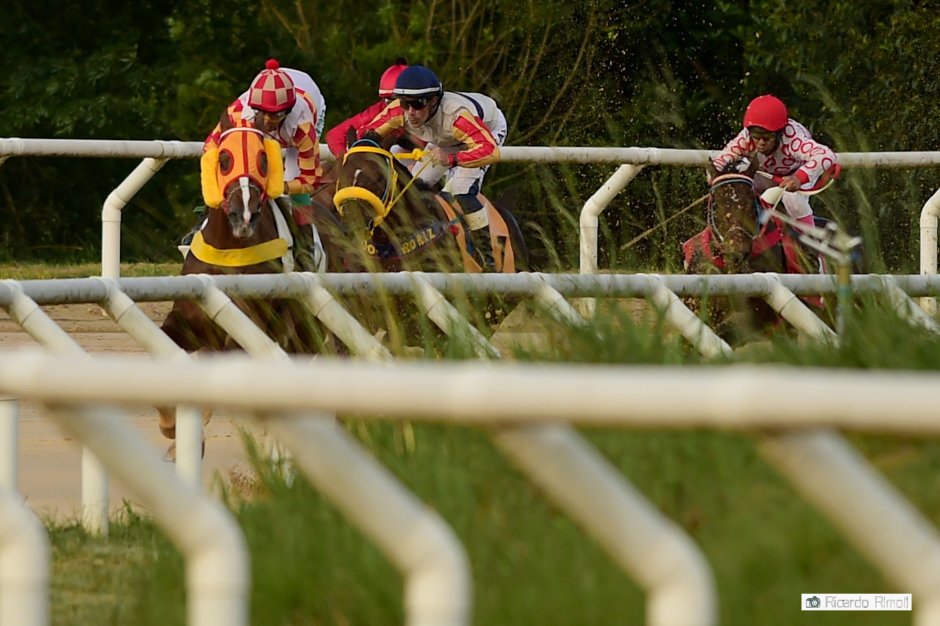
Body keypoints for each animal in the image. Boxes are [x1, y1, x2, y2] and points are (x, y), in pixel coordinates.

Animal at [158, 120, 345, 453]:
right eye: (224, 159)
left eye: (263, 161)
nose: (243, 215)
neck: (230, 249)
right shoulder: (186, 319)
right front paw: (171, 426)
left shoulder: (247, 325)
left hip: (303, 329)